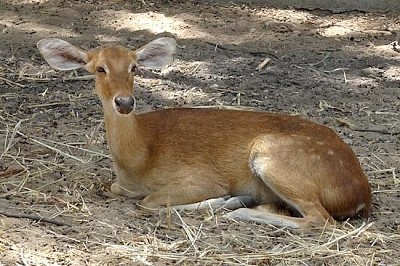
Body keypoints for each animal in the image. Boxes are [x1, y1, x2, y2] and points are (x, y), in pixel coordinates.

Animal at [36, 37, 372, 229]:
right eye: (99, 68)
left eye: (134, 67)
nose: (125, 102)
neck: (139, 157)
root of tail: (361, 194)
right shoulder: (121, 184)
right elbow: (120, 190)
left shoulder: (201, 177)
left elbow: (151, 202)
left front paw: (225, 200)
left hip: (271, 156)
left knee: (321, 220)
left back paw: (236, 209)